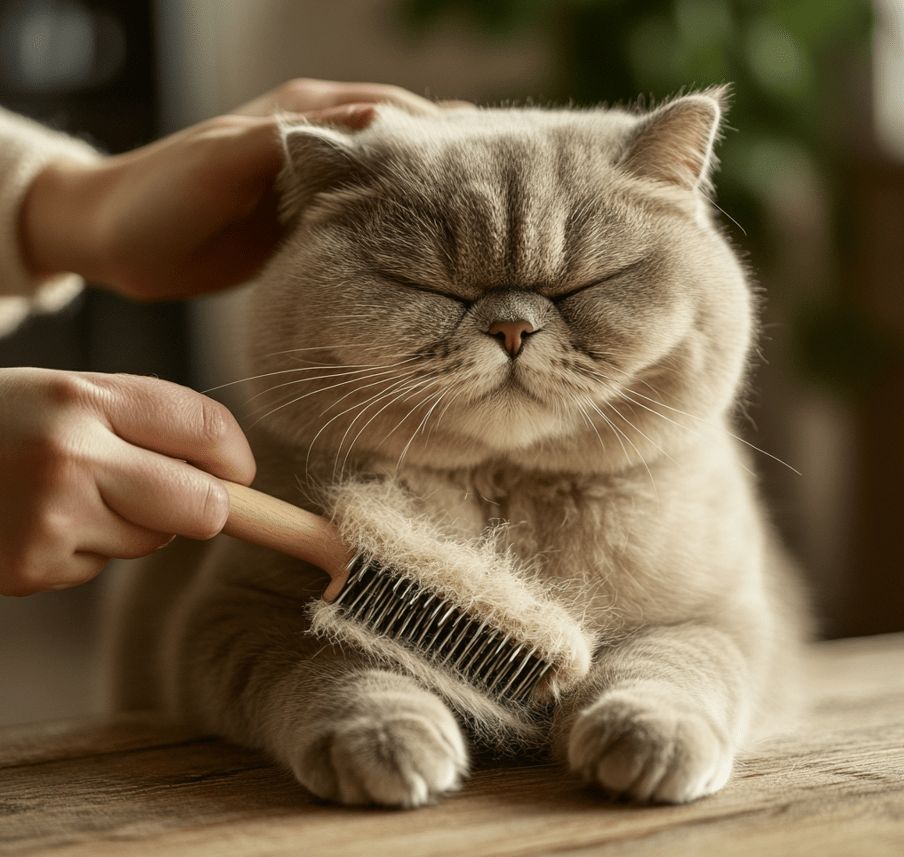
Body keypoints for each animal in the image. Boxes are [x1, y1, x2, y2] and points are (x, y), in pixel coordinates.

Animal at [106, 87, 804, 808]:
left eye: (583, 285)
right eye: (431, 289)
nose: (512, 327)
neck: (504, 497)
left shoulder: (725, 618)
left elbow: (668, 666)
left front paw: (645, 738)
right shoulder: (236, 614)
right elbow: (336, 666)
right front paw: (384, 740)